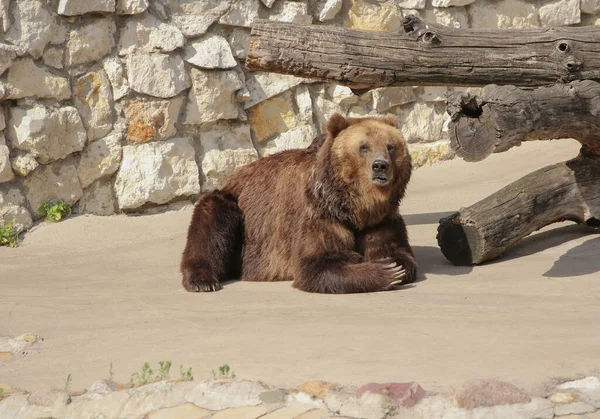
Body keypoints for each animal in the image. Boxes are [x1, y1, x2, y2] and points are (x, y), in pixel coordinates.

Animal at [180, 113, 418, 294]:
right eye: (364, 146)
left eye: (391, 146)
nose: (380, 166)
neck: (355, 207)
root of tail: (237, 174)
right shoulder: (319, 213)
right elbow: (315, 264)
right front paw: (383, 271)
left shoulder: (382, 218)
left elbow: (399, 253)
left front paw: (392, 264)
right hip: (238, 211)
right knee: (212, 220)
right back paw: (202, 281)